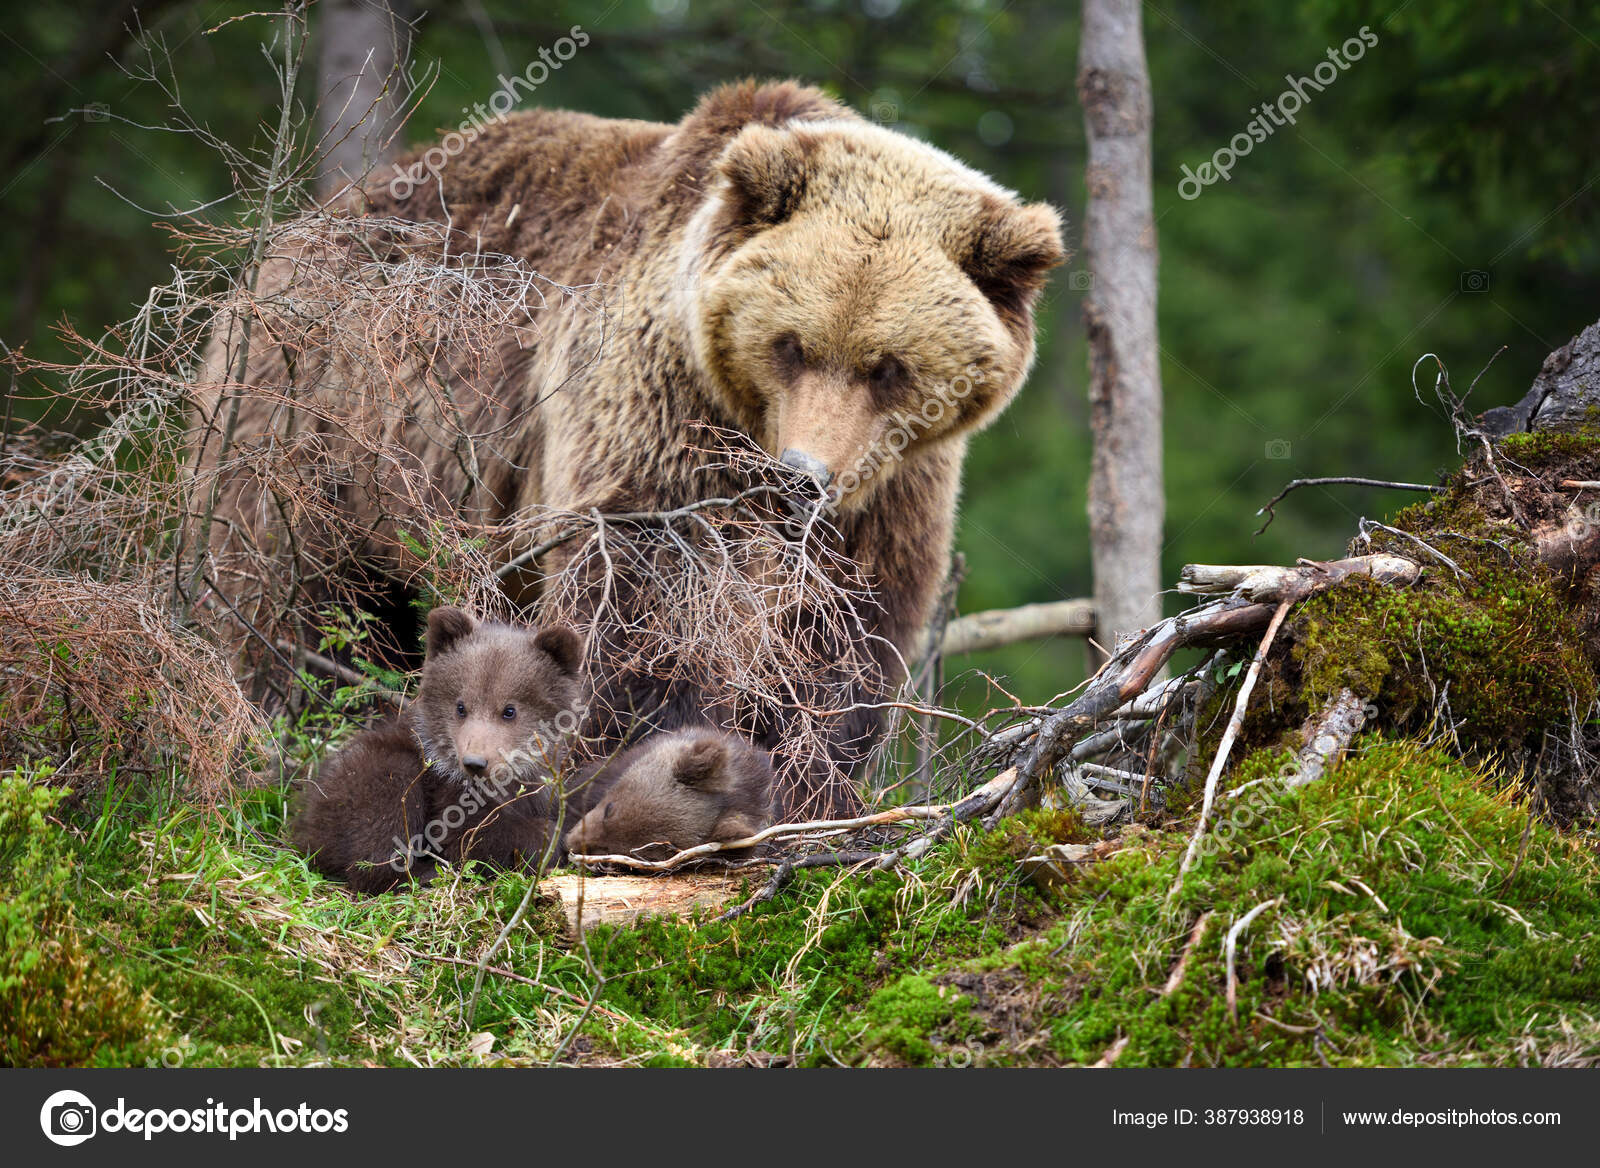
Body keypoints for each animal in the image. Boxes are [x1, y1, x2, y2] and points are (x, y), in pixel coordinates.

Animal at [193, 80, 1066, 817]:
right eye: (790, 344)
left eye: (889, 366)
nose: (805, 477)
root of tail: (304, 225)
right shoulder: (652, 418)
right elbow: (635, 609)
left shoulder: (893, 492)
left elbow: (844, 637)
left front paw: (812, 786)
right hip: (317, 420)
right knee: (286, 596)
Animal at [290, 606, 586, 893]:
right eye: (461, 707)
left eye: (509, 711)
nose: (475, 762)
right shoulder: (445, 791)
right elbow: (468, 837)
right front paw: (550, 840)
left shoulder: (539, 789)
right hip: (363, 780)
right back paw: (425, 873)